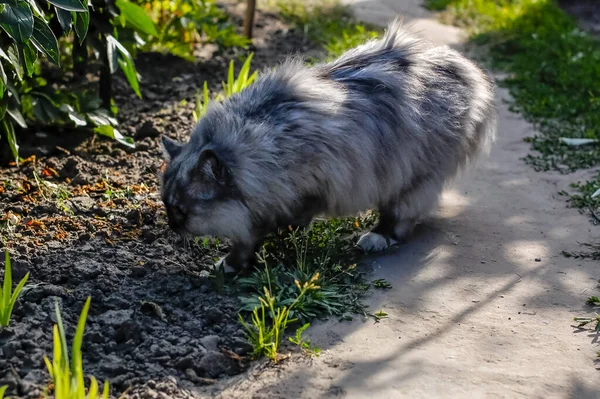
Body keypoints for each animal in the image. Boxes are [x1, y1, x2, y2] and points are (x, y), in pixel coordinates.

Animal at [158, 16, 496, 272]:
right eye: (165, 204)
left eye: (181, 210)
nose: (171, 224)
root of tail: (461, 67)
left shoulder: (305, 188)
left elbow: (252, 234)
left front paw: (235, 261)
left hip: (412, 174)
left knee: (401, 217)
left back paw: (377, 237)